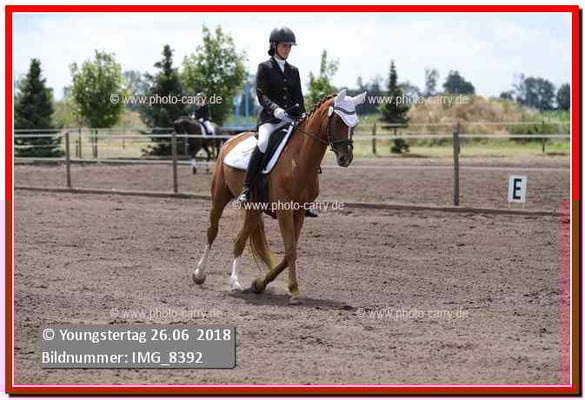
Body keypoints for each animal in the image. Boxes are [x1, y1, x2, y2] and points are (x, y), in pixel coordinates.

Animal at [193, 89, 367, 305]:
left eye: (354, 124)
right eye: (337, 120)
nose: (346, 158)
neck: (299, 159)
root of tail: (232, 139)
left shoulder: (299, 212)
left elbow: (288, 252)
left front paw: (259, 284)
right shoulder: (284, 210)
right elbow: (290, 250)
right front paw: (294, 291)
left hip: (253, 210)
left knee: (239, 240)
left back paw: (235, 282)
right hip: (219, 197)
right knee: (212, 231)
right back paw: (201, 274)